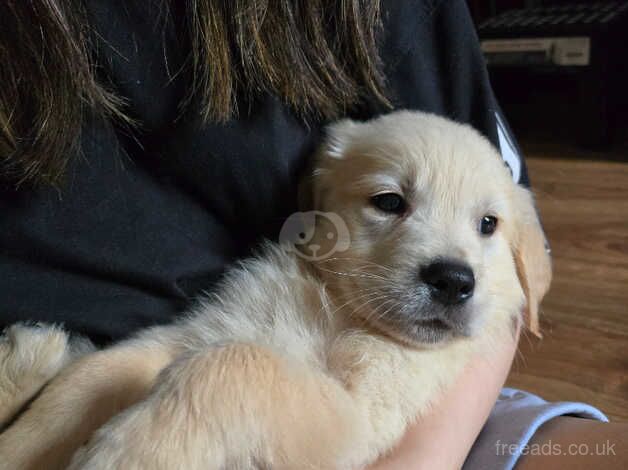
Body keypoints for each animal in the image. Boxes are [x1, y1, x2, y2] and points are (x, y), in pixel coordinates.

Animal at [0, 111, 548, 470]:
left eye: (488, 224)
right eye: (390, 201)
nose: (454, 280)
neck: (337, 307)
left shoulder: (360, 420)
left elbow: (237, 363)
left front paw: (132, 452)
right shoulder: (193, 333)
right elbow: (87, 379)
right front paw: (23, 445)